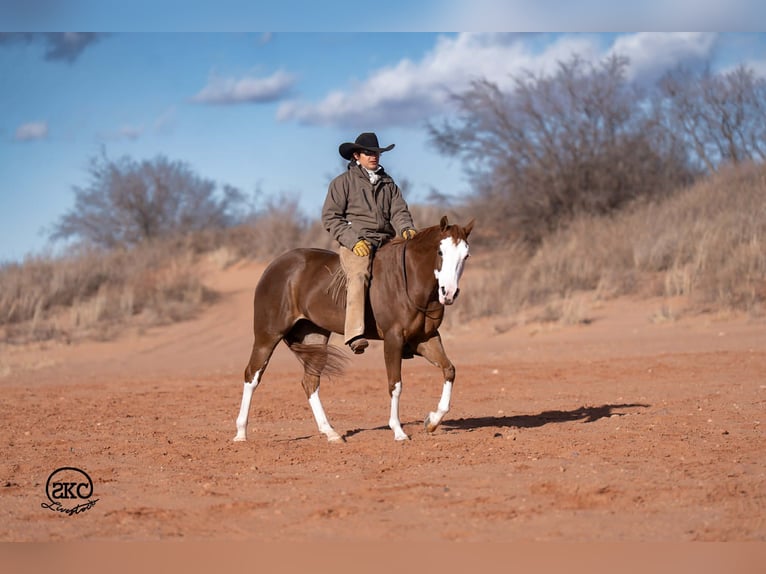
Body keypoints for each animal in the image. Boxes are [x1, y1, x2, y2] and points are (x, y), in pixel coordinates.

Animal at [234, 215, 473, 442]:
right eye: (440, 251)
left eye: (466, 255)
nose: (449, 292)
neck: (409, 281)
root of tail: (275, 266)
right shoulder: (393, 339)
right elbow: (395, 385)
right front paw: (398, 431)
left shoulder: (425, 339)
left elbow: (449, 370)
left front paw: (431, 421)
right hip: (267, 335)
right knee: (252, 376)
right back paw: (241, 433)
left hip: (314, 337)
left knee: (310, 382)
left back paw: (330, 433)